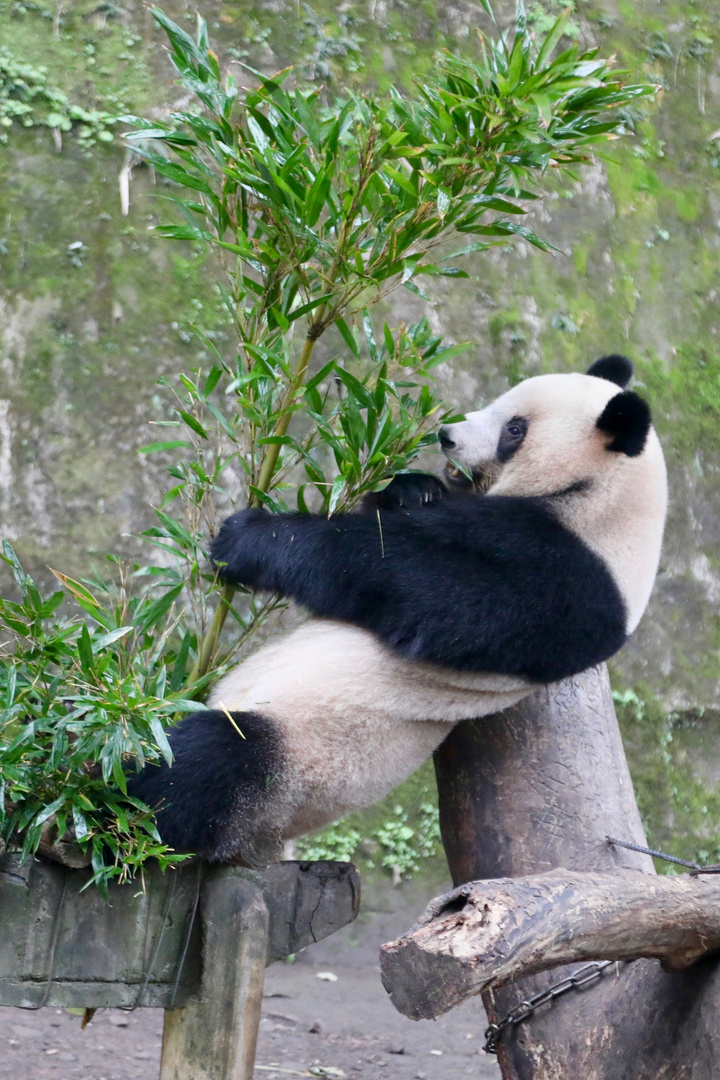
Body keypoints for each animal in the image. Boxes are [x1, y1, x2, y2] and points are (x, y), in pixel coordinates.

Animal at [127, 358, 664, 864]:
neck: (600, 496)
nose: (446, 435)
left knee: (201, 765)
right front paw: (411, 488)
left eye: (515, 429)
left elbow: (423, 589)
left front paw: (246, 540)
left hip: (291, 765)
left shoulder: (572, 580)